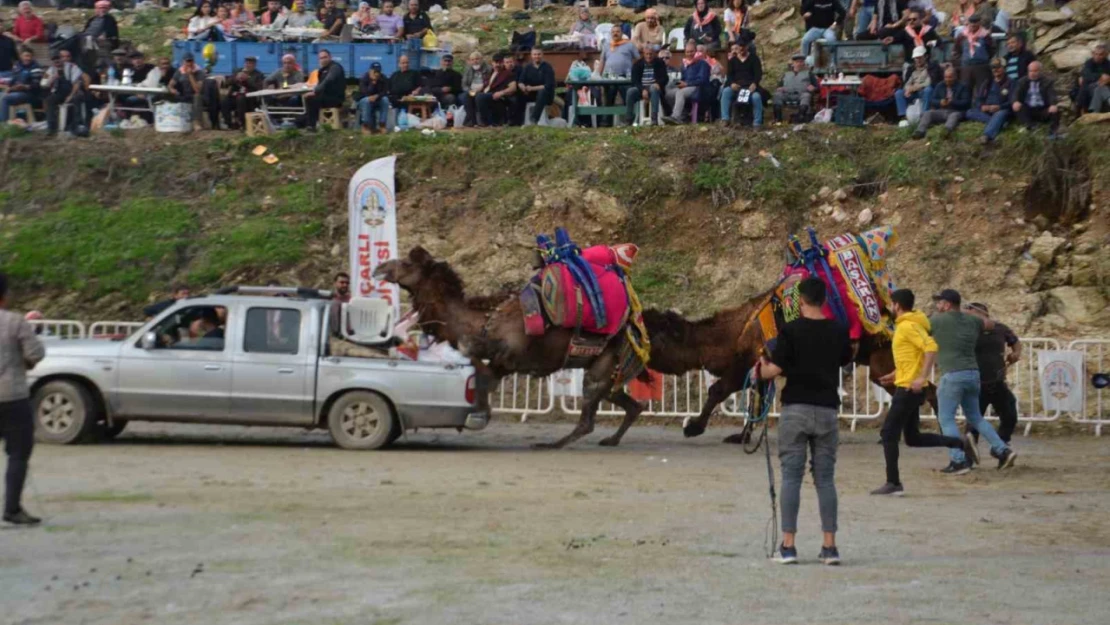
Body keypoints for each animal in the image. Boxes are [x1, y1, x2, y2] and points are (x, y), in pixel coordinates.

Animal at [372, 245, 643, 450]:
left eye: (407, 263)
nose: (379, 268)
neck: (484, 321)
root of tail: (630, 326)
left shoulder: (509, 358)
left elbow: (481, 373)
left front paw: (477, 414)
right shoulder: (499, 360)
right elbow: (477, 366)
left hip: (602, 364)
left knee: (590, 413)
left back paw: (551, 445)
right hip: (609, 371)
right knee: (630, 404)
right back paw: (610, 440)